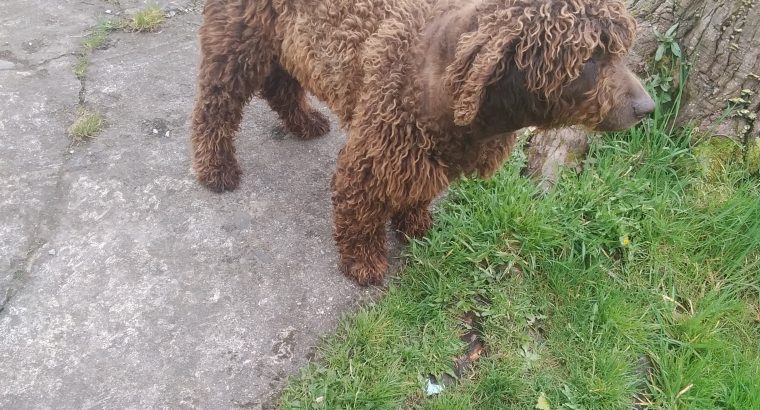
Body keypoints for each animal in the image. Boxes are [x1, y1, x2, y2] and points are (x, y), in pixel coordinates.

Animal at [189, 0, 652, 286]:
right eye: (591, 57)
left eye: (620, 51)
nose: (648, 107)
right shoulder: (374, 154)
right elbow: (359, 212)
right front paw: (364, 261)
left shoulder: (432, 156)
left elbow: (418, 193)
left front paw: (414, 224)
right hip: (236, 43)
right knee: (214, 108)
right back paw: (215, 166)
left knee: (280, 85)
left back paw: (305, 122)